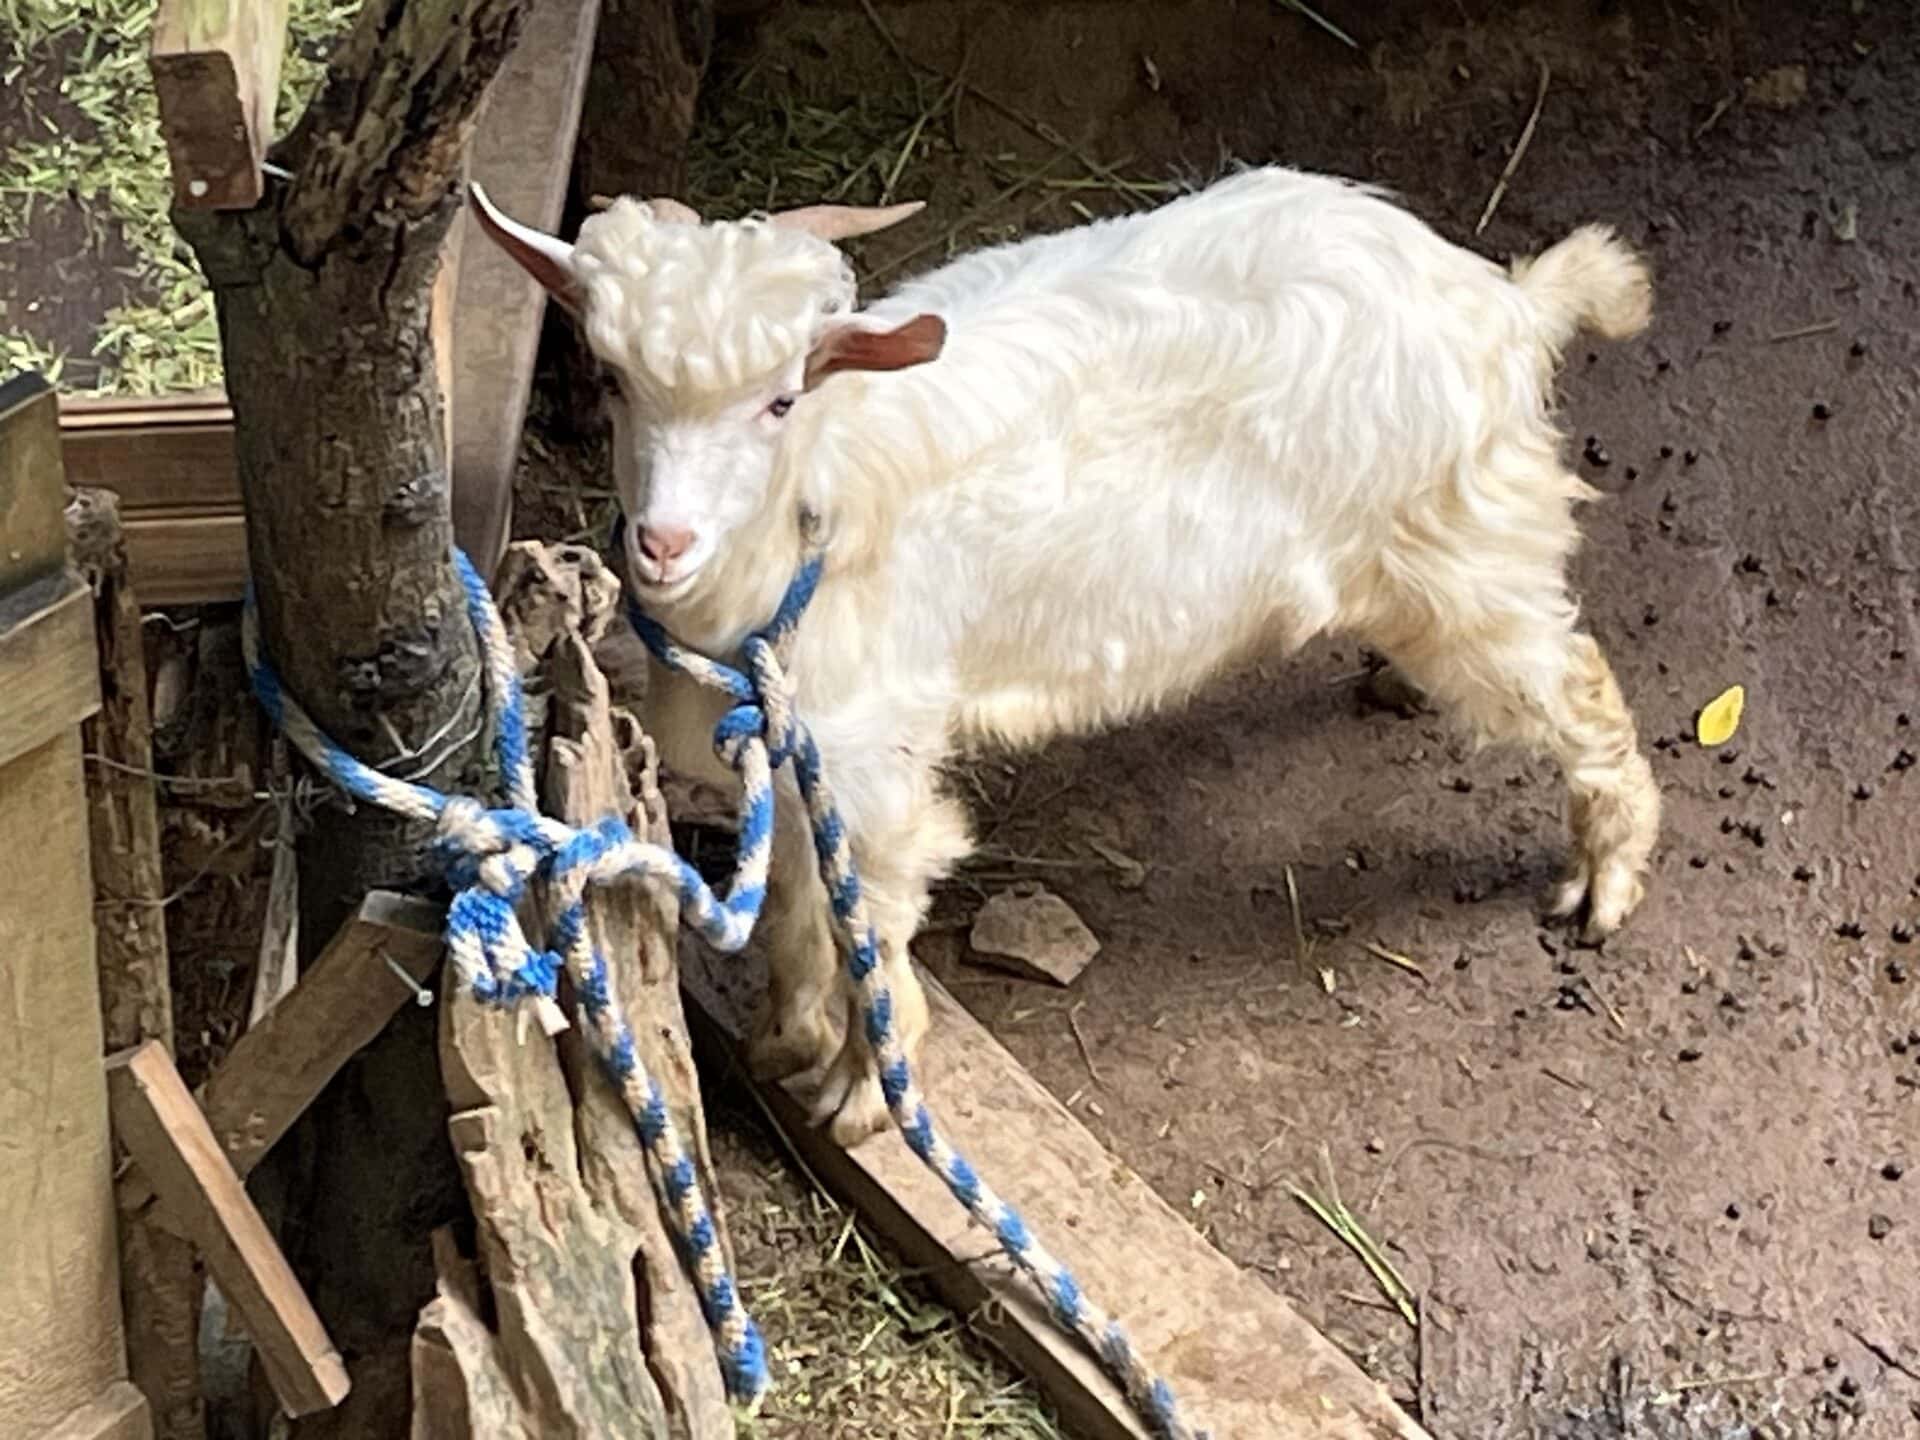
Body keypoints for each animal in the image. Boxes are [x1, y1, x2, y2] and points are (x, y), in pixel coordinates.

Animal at [471, 166, 1663, 1143]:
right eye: (614, 380)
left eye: (780, 400)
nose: (664, 542)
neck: (813, 510)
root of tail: (1506, 304)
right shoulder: (798, 743)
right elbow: (808, 906)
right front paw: (792, 1033)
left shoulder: (873, 752)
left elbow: (871, 917)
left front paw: (863, 1089)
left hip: (1465, 552)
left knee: (1576, 686)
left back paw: (1603, 877)